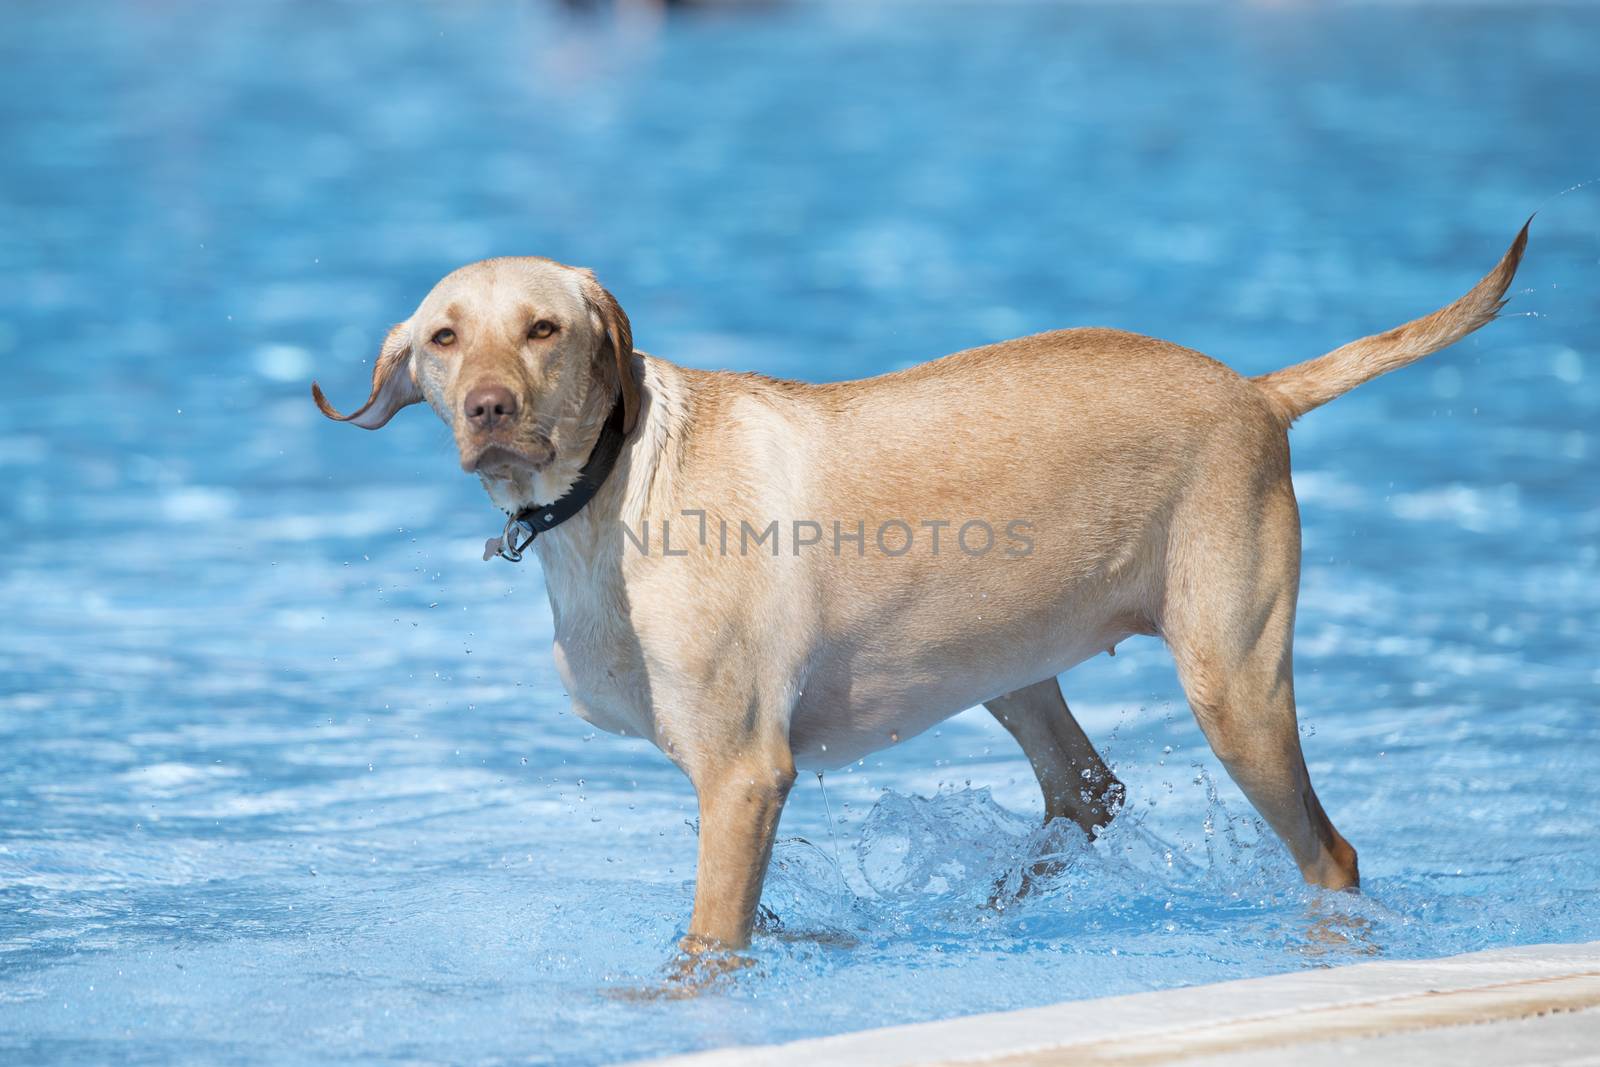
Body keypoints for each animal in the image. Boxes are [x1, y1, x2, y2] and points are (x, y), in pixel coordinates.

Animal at [308, 220, 1523, 953]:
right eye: (443, 339)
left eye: (544, 328)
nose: (489, 409)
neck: (614, 485)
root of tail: (1257, 390)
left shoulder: (741, 775)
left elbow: (709, 946)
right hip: (1008, 661)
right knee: (1086, 792)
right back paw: (987, 911)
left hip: (1234, 685)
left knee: (1331, 854)